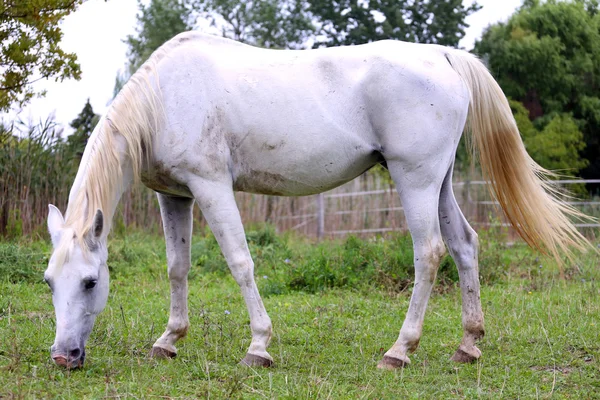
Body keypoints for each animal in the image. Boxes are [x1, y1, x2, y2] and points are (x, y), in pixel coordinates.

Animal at [44, 31, 588, 368]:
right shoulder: (174, 196)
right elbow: (177, 267)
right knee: (465, 245)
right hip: (440, 183)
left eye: (91, 282)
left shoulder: (211, 187)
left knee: (429, 253)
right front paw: (169, 340)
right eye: (50, 282)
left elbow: (239, 261)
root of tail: (442, 54)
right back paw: (468, 345)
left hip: (415, 181)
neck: (165, 97)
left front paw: (258, 347)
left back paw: (399, 350)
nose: (63, 357)